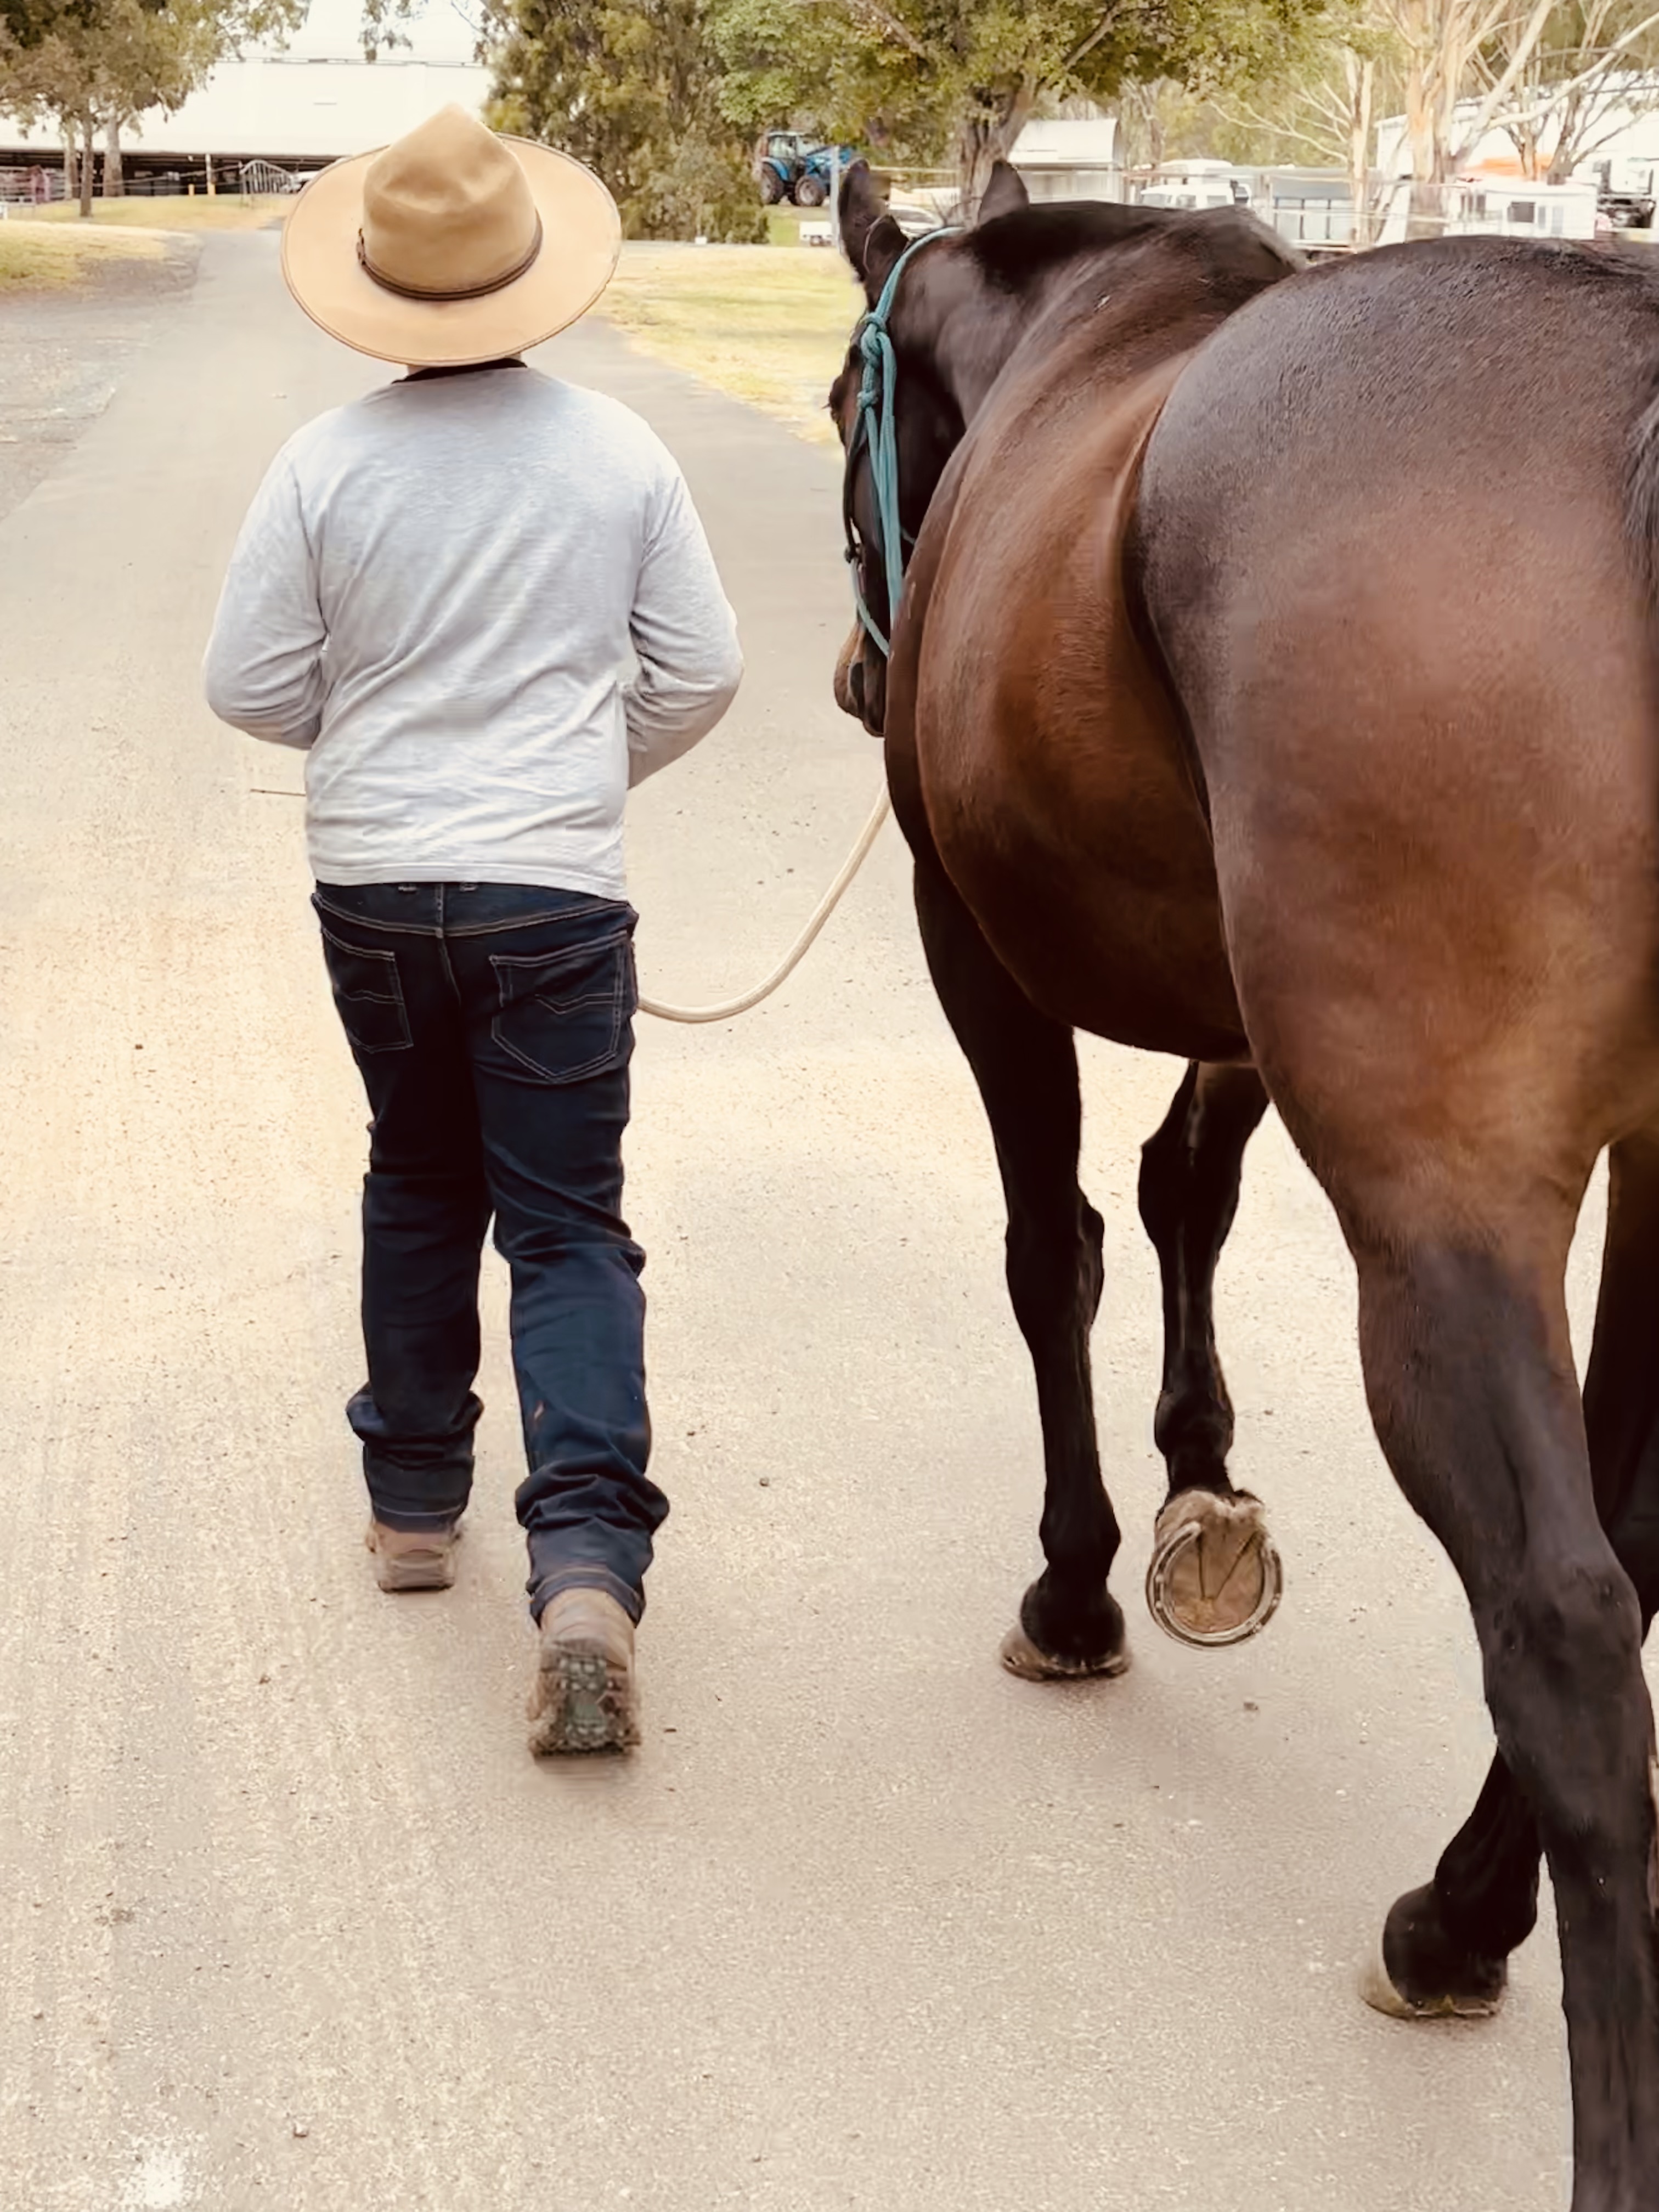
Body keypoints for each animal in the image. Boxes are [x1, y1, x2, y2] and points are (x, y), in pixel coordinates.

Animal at [830, 158, 1659, 2208]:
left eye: (832, 408)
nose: (855, 669)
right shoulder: (1235, 1005)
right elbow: (1179, 1189)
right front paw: (1198, 1483)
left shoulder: (971, 943)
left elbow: (1053, 1245)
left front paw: (1078, 1584)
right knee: (1633, 1545)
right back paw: (1455, 1915)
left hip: (1443, 1205)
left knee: (1566, 1625)